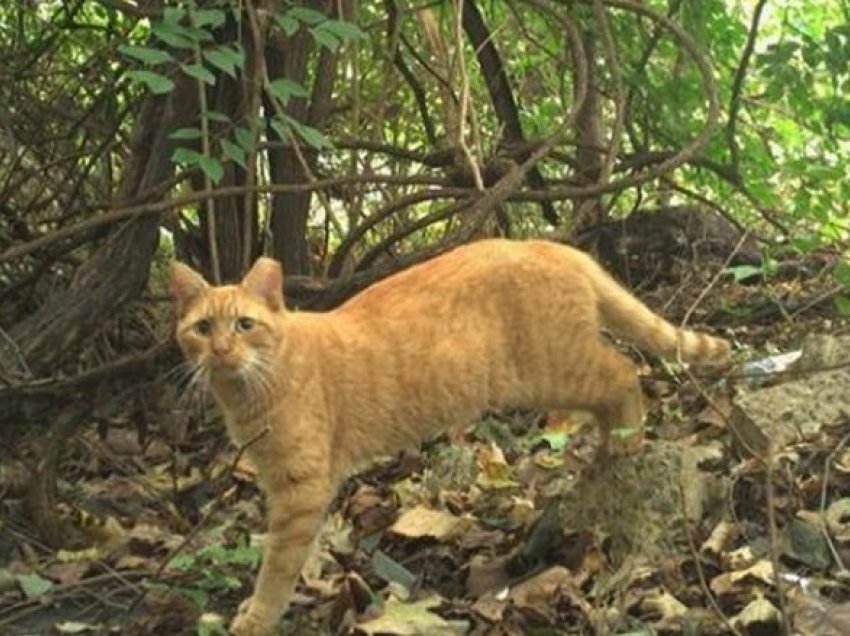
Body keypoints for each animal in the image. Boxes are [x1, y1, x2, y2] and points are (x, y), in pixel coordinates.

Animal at [167, 240, 728, 636]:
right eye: (202, 328)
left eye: (244, 325)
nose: (220, 351)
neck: (252, 386)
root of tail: (545, 242)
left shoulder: (299, 490)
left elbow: (278, 566)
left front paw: (257, 617)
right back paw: (611, 448)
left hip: (554, 371)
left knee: (625, 372)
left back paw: (628, 441)